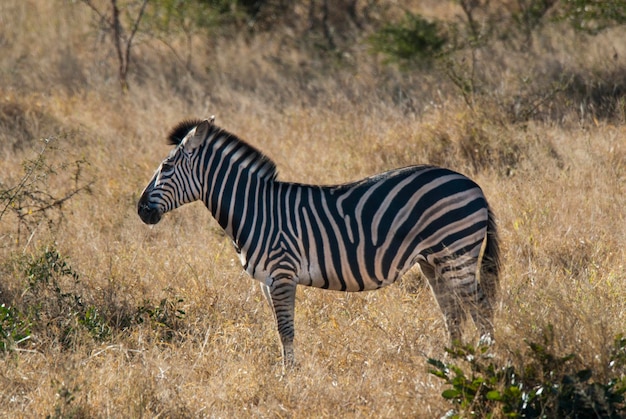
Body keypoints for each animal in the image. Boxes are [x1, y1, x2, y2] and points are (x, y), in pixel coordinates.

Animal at [136, 117, 498, 368]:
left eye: (166, 167)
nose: (140, 210)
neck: (254, 209)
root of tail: (473, 184)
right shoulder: (266, 281)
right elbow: (279, 329)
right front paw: (287, 371)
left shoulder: (281, 274)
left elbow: (286, 329)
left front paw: (289, 377)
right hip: (433, 260)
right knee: (453, 311)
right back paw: (454, 362)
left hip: (456, 251)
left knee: (479, 307)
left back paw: (486, 361)